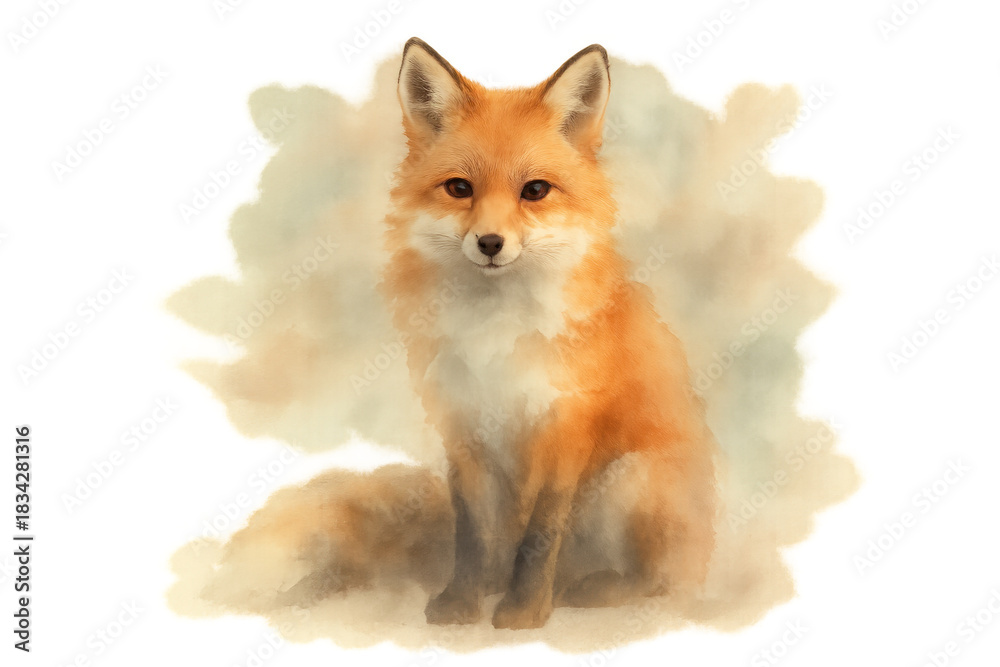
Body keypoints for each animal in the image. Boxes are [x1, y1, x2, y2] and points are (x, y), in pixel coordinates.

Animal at [206, 38, 718, 633]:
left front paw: (523, 614)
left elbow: (541, 535)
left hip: (632, 479)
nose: (490, 243)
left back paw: (591, 589)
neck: (494, 335)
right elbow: (473, 534)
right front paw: (463, 603)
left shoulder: (565, 426)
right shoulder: (464, 423)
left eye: (534, 191)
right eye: (459, 188)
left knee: (658, 582)